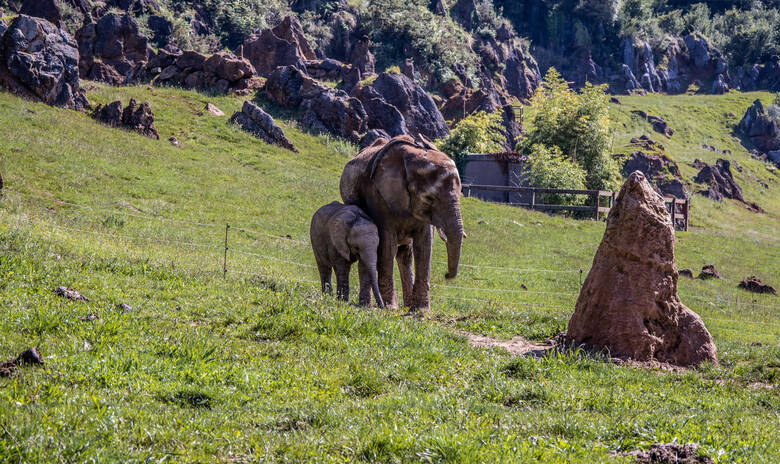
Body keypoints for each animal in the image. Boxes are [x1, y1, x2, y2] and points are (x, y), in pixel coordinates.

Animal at [340, 134, 464, 310]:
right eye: (429, 198)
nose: (447, 275)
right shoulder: (377, 196)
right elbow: (387, 246)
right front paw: (391, 308)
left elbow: (424, 246)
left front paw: (421, 311)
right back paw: (369, 306)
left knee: (406, 255)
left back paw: (407, 307)